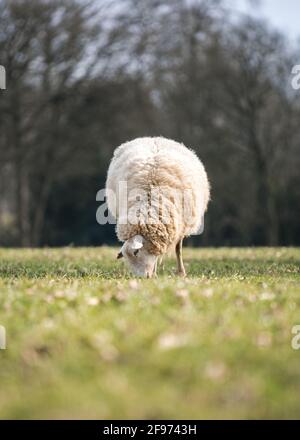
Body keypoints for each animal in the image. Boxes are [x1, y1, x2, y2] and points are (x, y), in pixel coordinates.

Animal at [106, 136, 210, 276]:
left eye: (136, 252)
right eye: (126, 258)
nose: (141, 278)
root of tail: (154, 138)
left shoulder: (180, 225)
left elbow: (178, 249)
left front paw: (181, 273)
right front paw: (154, 273)